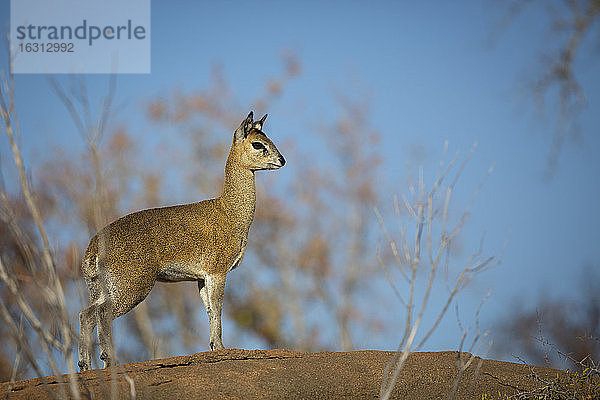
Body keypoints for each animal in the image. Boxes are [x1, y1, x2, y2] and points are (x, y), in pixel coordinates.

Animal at [78, 111, 286, 370]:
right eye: (258, 144)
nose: (282, 160)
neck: (230, 213)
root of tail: (92, 250)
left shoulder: (200, 278)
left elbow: (209, 309)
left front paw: (213, 346)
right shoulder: (217, 270)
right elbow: (217, 307)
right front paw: (220, 348)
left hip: (101, 288)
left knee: (86, 314)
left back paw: (84, 365)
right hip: (133, 284)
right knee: (102, 314)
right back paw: (109, 361)